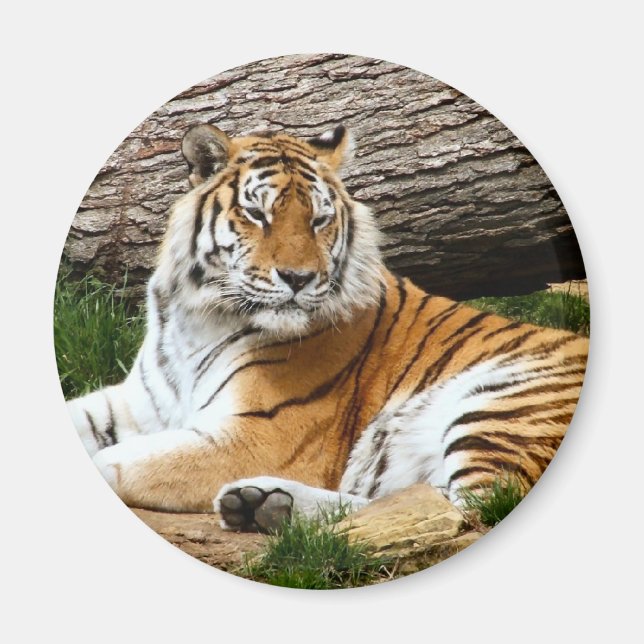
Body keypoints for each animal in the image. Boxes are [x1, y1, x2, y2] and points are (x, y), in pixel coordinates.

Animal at [66, 123, 589, 533]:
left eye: (319, 219)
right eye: (257, 214)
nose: (298, 278)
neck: (201, 316)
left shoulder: (258, 434)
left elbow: (114, 462)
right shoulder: (137, 405)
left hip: (501, 405)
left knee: (464, 511)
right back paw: (264, 505)